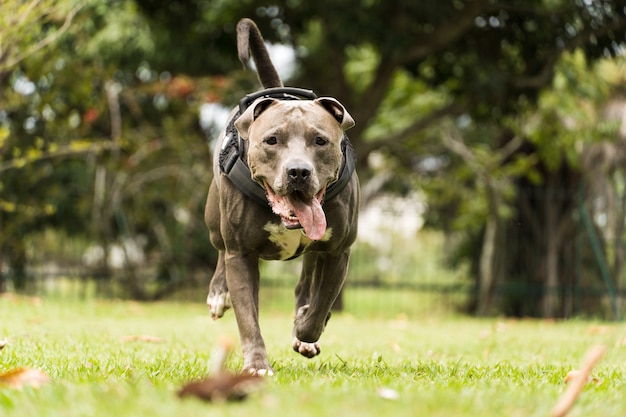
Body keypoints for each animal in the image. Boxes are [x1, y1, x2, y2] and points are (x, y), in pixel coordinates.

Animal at [205, 17, 358, 374]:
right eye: (272, 140)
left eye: (320, 141)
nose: (298, 171)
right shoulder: (241, 255)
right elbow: (248, 317)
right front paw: (257, 364)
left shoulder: (338, 252)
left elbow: (319, 307)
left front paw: (305, 327)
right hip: (214, 218)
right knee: (219, 247)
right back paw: (219, 293)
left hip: (317, 251)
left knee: (306, 282)